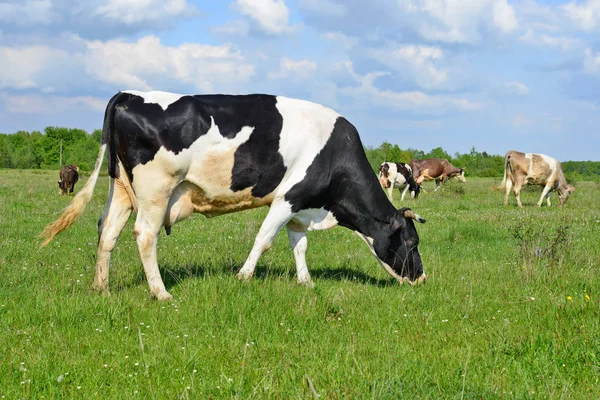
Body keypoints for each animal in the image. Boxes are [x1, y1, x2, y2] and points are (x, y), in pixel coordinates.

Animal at [41, 90, 426, 300]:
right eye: (412, 243)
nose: (422, 279)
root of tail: (129, 94)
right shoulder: (288, 197)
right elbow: (264, 239)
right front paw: (243, 276)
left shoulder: (301, 207)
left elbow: (299, 246)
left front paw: (306, 282)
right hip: (155, 190)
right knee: (145, 235)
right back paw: (161, 293)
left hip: (121, 188)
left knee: (107, 231)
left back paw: (102, 288)